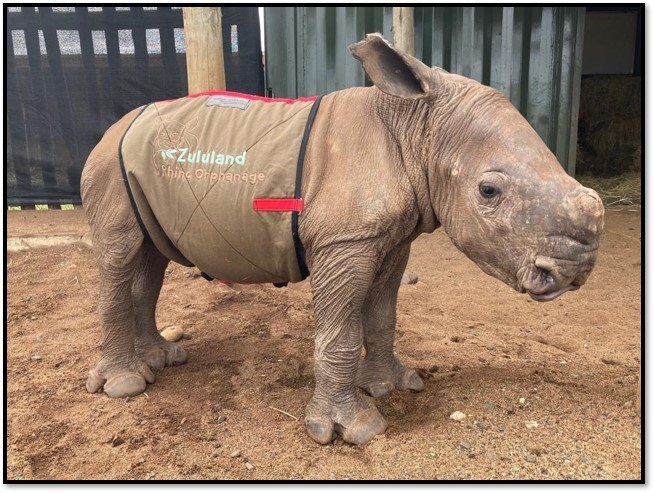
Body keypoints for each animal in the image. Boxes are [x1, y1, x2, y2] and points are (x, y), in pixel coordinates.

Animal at [80, 33, 604, 446]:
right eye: (488, 191)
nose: (573, 272)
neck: (417, 128)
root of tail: (110, 128)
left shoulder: (391, 238)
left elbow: (383, 316)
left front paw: (394, 386)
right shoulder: (344, 242)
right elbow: (341, 335)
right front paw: (352, 430)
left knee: (150, 259)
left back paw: (161, 360)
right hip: (108, 168)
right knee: (120, 254)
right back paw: (127, 386)